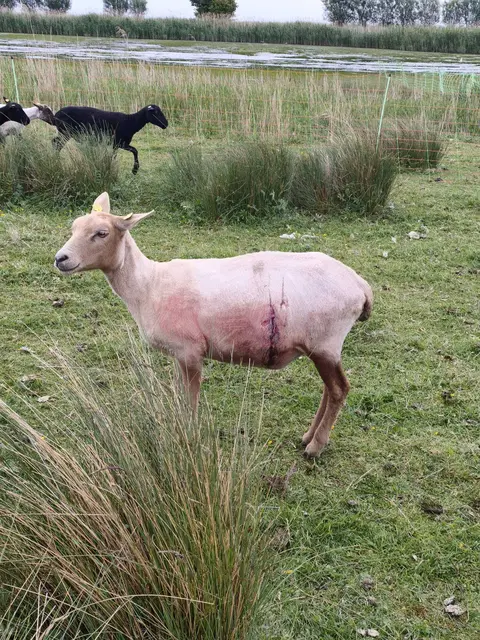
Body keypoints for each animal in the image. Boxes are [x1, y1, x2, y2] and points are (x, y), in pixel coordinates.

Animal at [54, 193, 373, 458]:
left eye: (101, 233)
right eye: (74, 227)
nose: (60, 258)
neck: (148, 286)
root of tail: (360, 285)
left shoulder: (190, 351)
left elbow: (190, 399)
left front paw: (189, 436)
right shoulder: (178, 354)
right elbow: (179, 394)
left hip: (325, 342)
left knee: (338, 389)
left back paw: (315, 446)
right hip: (322, 346)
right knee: (329, 389)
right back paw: (308, 436)